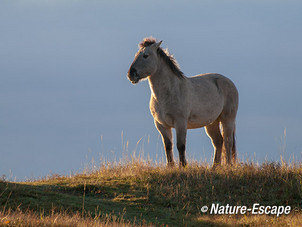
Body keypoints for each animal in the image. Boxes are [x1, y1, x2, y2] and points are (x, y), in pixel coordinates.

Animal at [127, 36, 238, 166]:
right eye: (136, 55)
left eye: (145, 55)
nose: (131, 74)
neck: (168, 92)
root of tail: (229, 82)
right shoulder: (161, 125)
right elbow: (168, 146)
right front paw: (170, 166)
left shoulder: (180, 122)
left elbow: (180, 145)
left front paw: (183, 166)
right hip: (212, 122)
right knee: (218, 142)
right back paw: (214, 167)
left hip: (227, 119)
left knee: (228, 141)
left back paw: (228, 165)